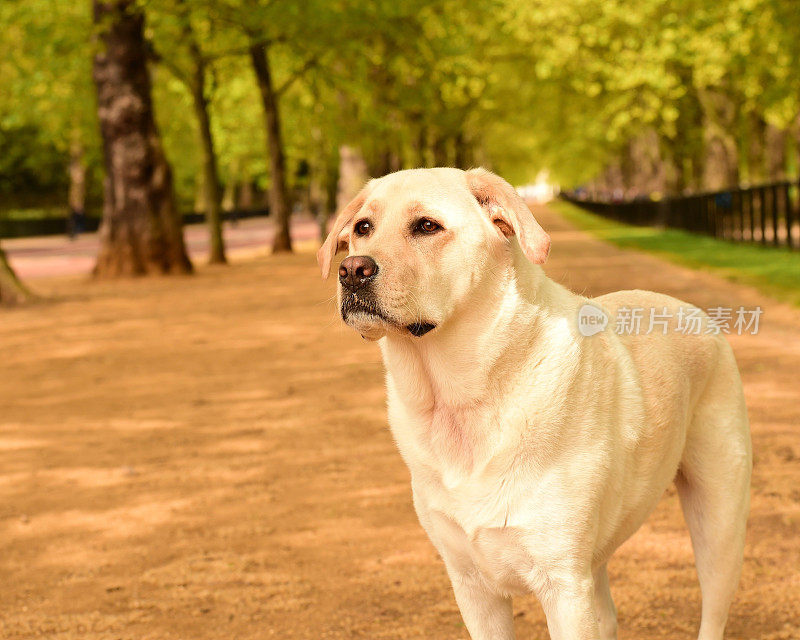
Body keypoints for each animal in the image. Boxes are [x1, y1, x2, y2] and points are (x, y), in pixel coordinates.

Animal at [318, 169, 752, 640]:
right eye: (363, 227)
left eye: (427, 226)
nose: (351, 270)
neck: (459, 401)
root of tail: (696, 312)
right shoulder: (472, 587)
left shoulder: (563, 585)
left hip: (718, 525)